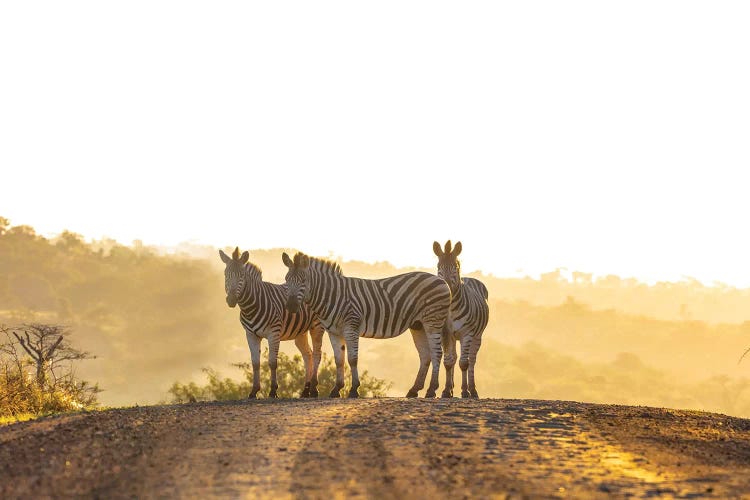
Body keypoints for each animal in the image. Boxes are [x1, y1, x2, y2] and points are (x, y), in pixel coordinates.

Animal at [217, 247, 324, 398]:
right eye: (226, 274)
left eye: (241, 276)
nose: (231, 300)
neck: (251, 306)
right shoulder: (251, 335)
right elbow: (255, 363)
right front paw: (253, 391)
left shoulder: (274, 333)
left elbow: (273, 362)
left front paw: (273, 391)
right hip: (300, 332)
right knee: (307, 355)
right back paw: (305, 390)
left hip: (317, 326)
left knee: (316, 354)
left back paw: (314, 390)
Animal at [284, 252, 452, 396]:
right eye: (286, 280)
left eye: (303, 281)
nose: (290, 306)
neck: (332, 295)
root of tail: (442, 281)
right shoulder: (334, 331)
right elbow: (339, 360)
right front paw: (336, 389)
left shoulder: (351, 327)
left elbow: (352, 359)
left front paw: (353, 390)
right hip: (418, 325)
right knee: (425, 355)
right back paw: (414, 390)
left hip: (433, 321)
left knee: (437, 353)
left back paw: (431, 390)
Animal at [432, 241, 490, 398]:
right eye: (438, 267)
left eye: (456, 267)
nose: (447, 288)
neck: (451, 308)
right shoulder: (445, 333)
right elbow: (448, 362)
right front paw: (447, 391)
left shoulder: (467, 334)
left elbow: (464, 363)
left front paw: (465, 391)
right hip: (453, 337)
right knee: (454, 357)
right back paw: (452, 389)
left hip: (477, 336)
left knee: (472, 361)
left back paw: (473, 390)